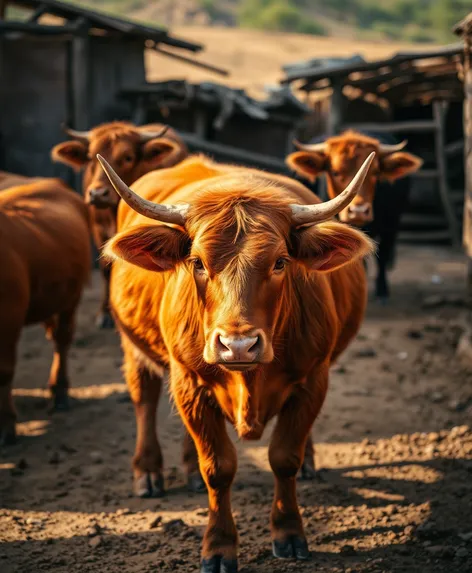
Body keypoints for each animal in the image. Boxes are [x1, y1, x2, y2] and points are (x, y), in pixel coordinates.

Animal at [0, 178, 90, 442]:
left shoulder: (10, 316)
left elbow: (3, 372)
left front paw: (6, 425)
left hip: (72, 297)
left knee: (62, 339)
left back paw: (59, 393)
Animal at [49, 120, 186, 326]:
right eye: (90, 157)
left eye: (128, 157)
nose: (98, 194)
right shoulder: (99, 231)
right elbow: (106, 269)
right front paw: (105, 314)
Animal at [97, 150, 374, 568]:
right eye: (197, 262)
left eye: (280, 262)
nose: (238, 345)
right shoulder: (189, 380)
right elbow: (218, 467)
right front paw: (218, 546)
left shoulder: (314, 378)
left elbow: (284, 457)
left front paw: (289, 533)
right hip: (135, 346)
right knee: (144, 396)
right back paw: (148, 472)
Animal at [286, 130, 422, 300]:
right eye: (335, 172)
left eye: (376, 172)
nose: (358, 211)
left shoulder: (390, 225)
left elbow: (383, 255)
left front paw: (382, 290)